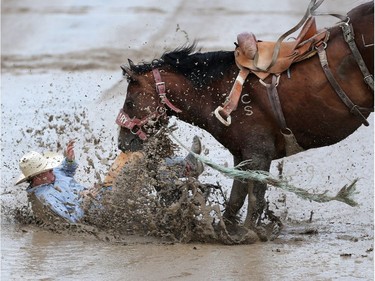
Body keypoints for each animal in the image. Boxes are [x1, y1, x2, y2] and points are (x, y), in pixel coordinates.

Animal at [116, 2, 374, 232]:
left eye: (130, 102)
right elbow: (236, 198)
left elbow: (254, 199)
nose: (122, 142)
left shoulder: (259, 154)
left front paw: (248, 234)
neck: (218, 90)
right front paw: (224, 229)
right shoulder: (242, 156)